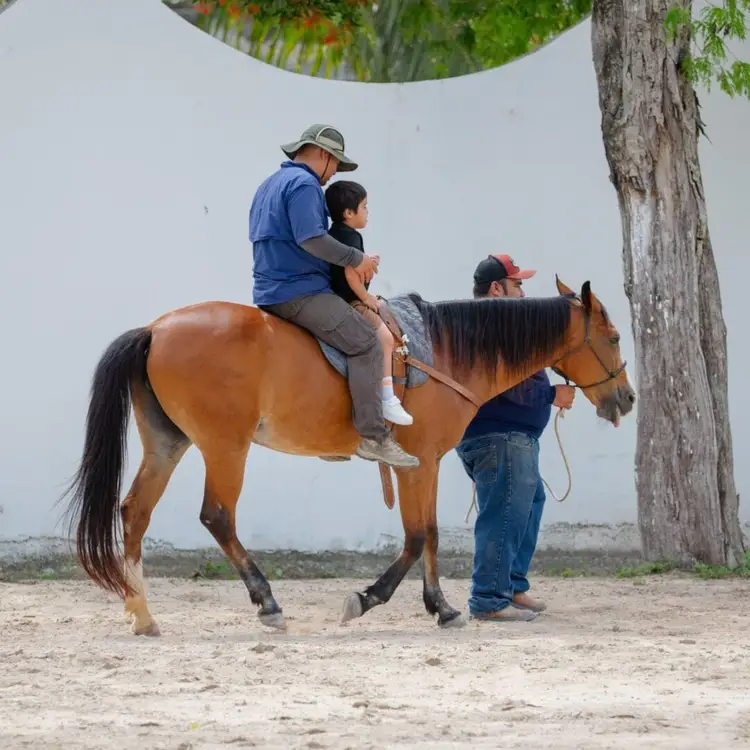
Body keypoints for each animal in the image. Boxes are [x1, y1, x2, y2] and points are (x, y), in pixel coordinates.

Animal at [61, 276, 635, 636]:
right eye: (612, 336)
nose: (627, 398)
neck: (442, 352)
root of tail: (155, 329)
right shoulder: (420, 462)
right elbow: (417, 536)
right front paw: (369, 598)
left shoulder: (423, 465)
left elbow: (429, 534)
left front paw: (442, 608)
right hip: (226, 447)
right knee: (217, 516)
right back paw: (267, 603)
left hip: (168, 444)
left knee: (134, 512)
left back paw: (141, 613)